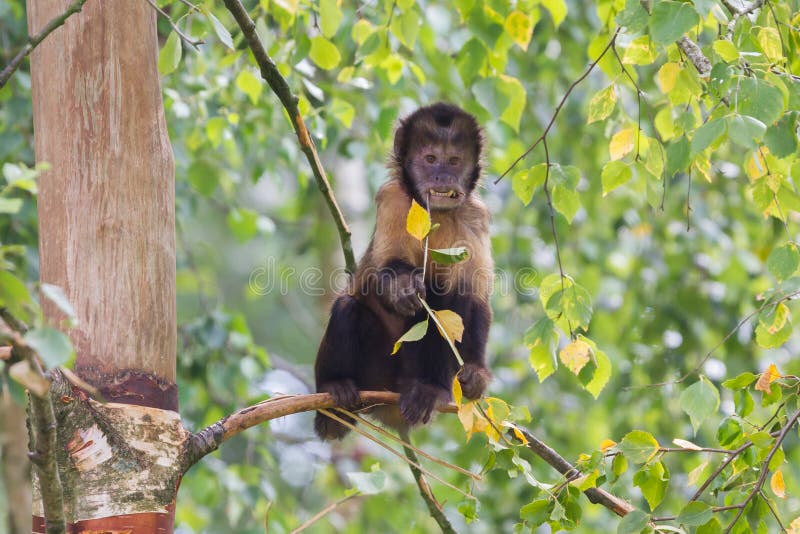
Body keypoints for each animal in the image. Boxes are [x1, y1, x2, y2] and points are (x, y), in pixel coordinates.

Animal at [314, 102, 490, 442]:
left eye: (454, 161)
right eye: (431, 159)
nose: (442, 175)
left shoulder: (476, 216)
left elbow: (473, 296)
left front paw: (476, 372)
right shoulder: (393, 197)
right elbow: (385, 268)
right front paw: (402, 288)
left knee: (449, 300)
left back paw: (429, 390)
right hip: (374, 374)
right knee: (348, 307)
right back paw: (333, 392)